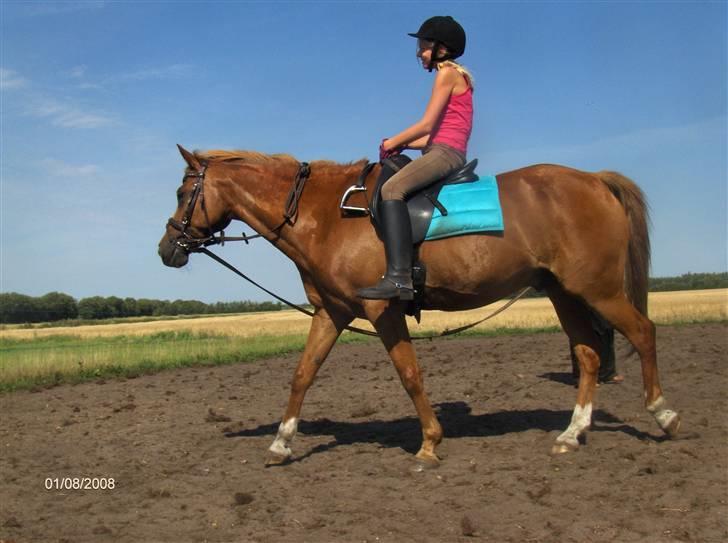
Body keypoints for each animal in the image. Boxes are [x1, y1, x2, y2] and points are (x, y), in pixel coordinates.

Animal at [156, 146, 680, 468]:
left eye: (183, 193)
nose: (166, 249)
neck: (325, 215)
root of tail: (594, 180)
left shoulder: (382, 311)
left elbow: (409, 374)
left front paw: (429, 442)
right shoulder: (333, 312)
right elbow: (303, 374)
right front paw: (282, 443)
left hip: (598, 289)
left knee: (643, 333)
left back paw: (662, 414)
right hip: (562, 291)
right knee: (589, 353)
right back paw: (572, 433)